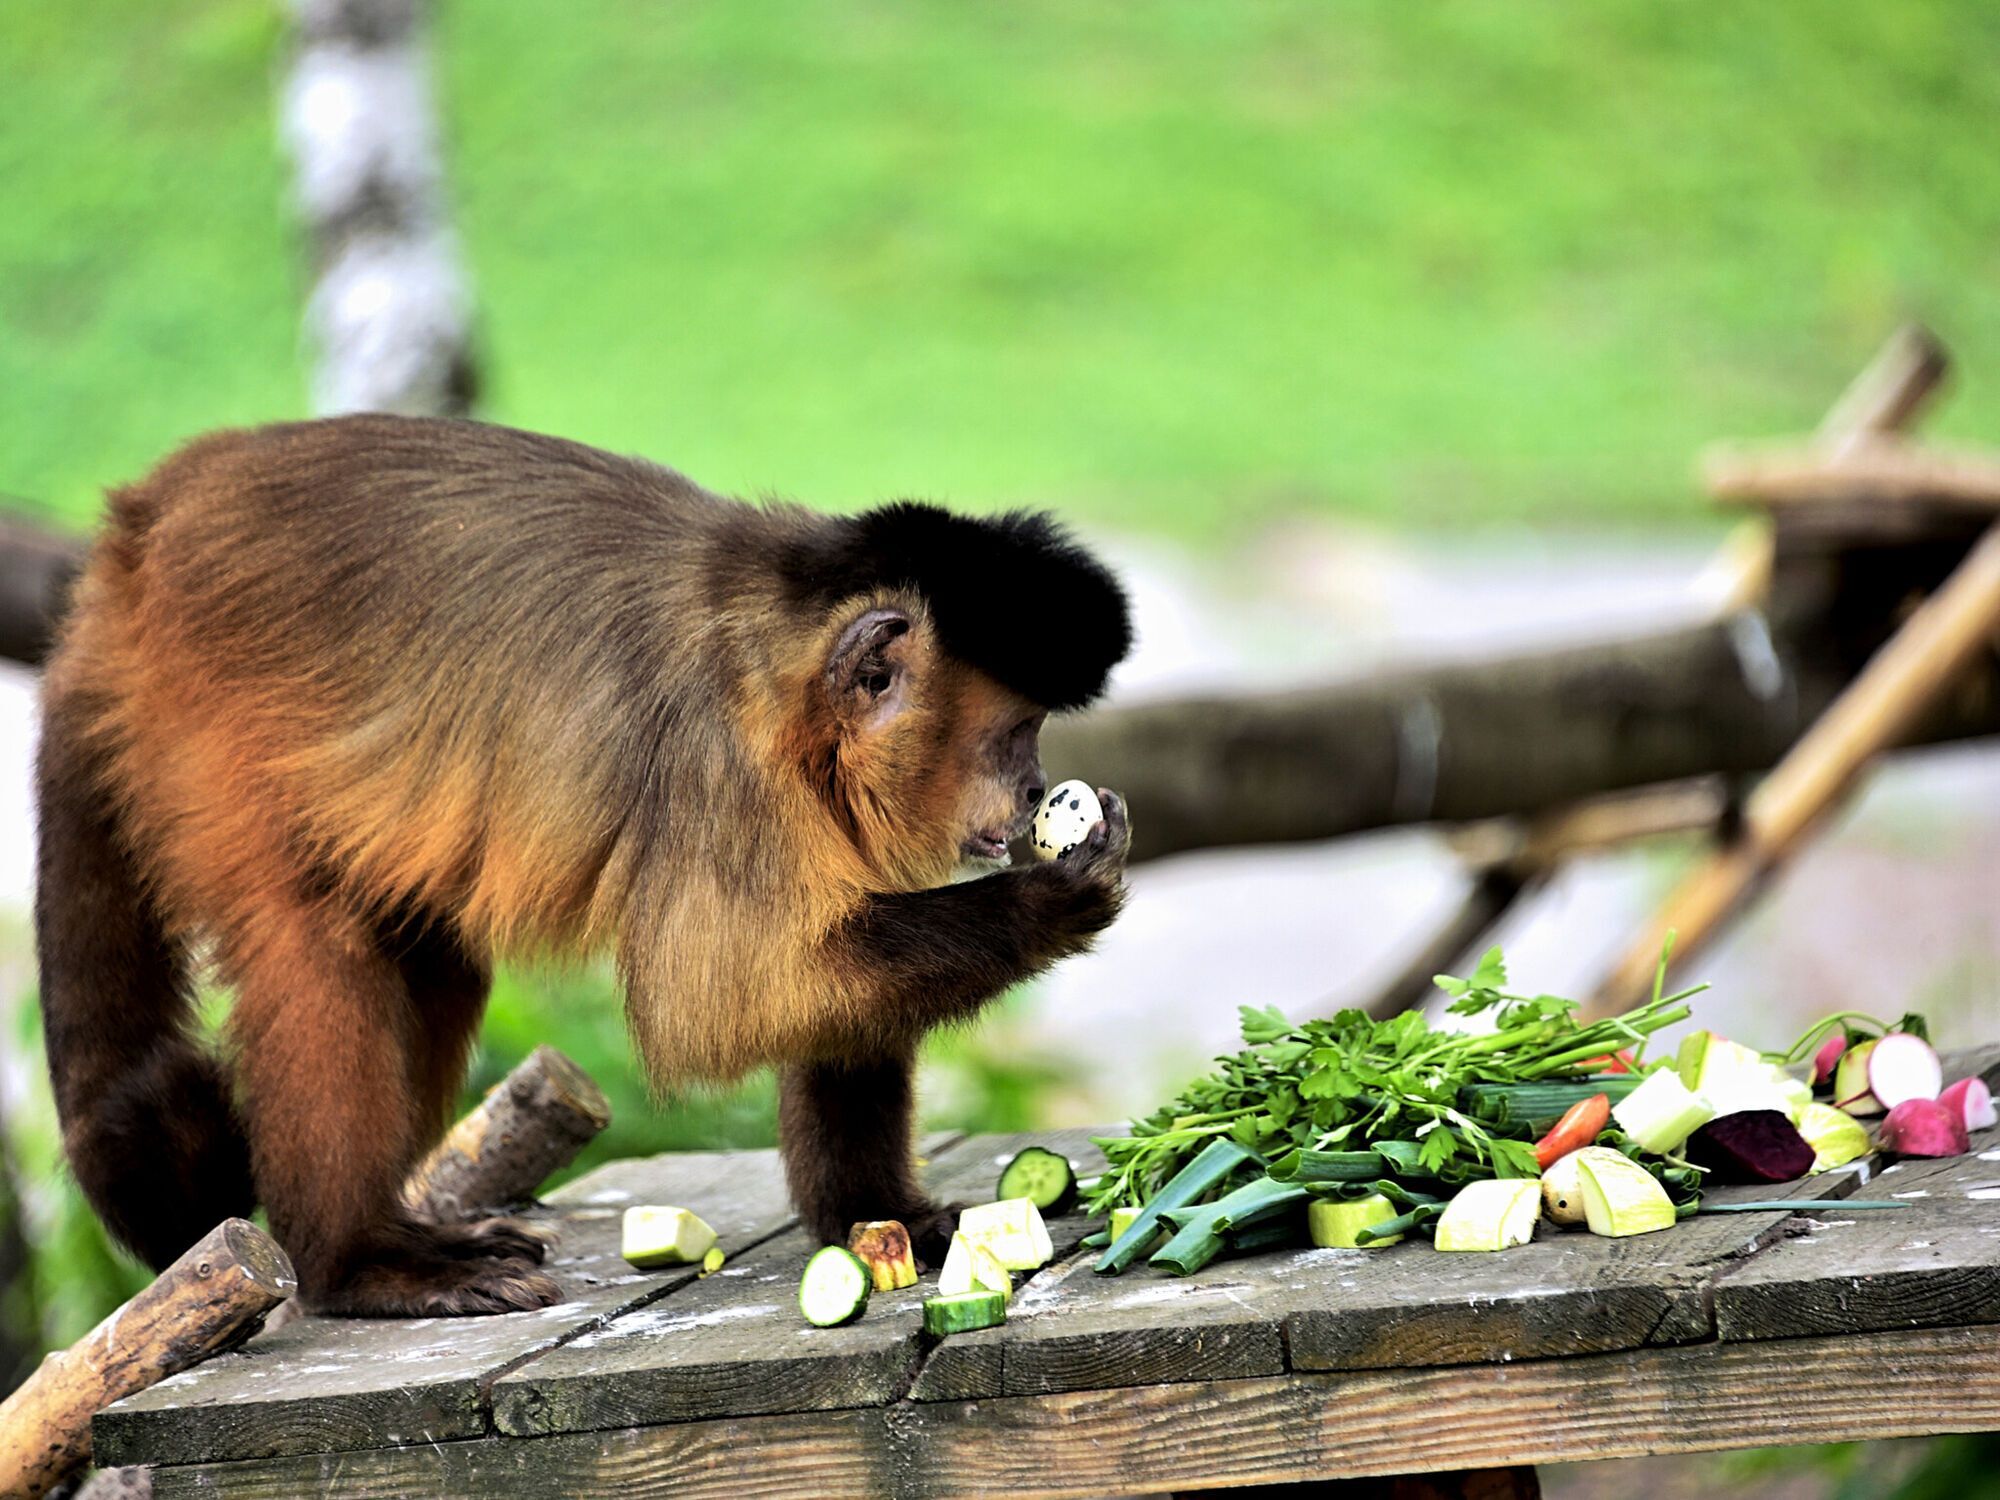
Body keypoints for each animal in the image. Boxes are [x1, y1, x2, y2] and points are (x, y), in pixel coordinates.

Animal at [31, 414, 1136, 1312]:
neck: (784, 676)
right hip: (199, 720)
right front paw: (1054, 898)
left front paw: (878, 1219)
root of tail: (139, 523)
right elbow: (725, 1000)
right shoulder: (718, 763)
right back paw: (356, 1264)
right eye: (1013, 737)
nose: (1036, 788)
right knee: (319, 936)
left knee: (421, 951)